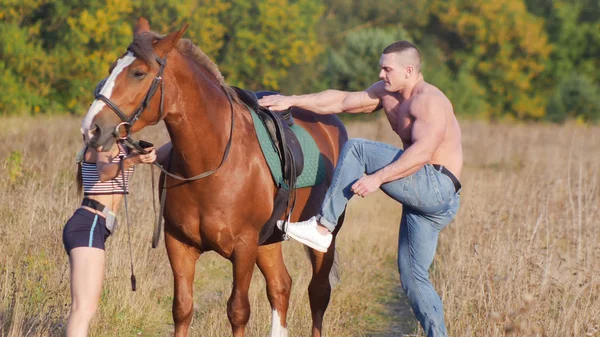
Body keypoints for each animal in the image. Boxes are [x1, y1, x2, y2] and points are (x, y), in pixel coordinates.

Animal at [82, 19, 350, 336]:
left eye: (138, 73)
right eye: (113, 67)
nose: (92, 128)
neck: (211, 164)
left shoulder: (244, 247)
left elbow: (238, 310)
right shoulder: (179, 245)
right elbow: (182, 308)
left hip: (322, 240)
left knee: (318, 293)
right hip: (269, 240)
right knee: (280, 287)